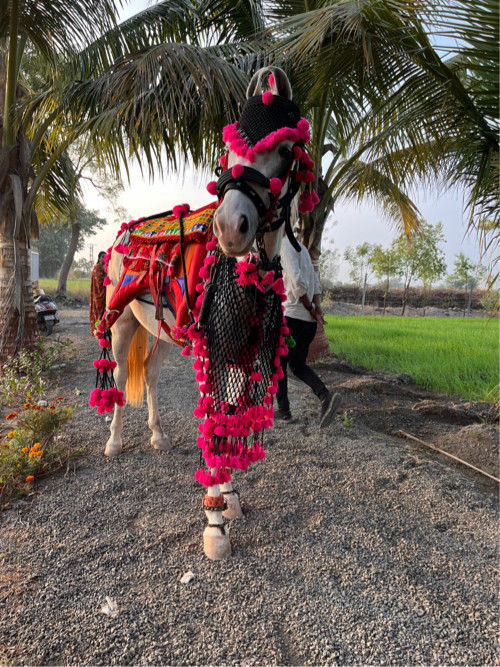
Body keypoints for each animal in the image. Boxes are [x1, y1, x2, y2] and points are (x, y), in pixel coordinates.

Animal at [90, 68, 320, 560]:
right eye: (227, 153)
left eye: (286, 150)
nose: (231, 227)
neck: (241, 271)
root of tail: (123, 233)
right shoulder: (213, 346)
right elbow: (215, 419)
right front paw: (215, 525)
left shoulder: (242, 349)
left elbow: (232, 414)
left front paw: (230, 498)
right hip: (122, 322)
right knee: (117, 375)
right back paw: (114, 441)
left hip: (160, 327)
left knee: (150, 373)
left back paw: (158, 435)